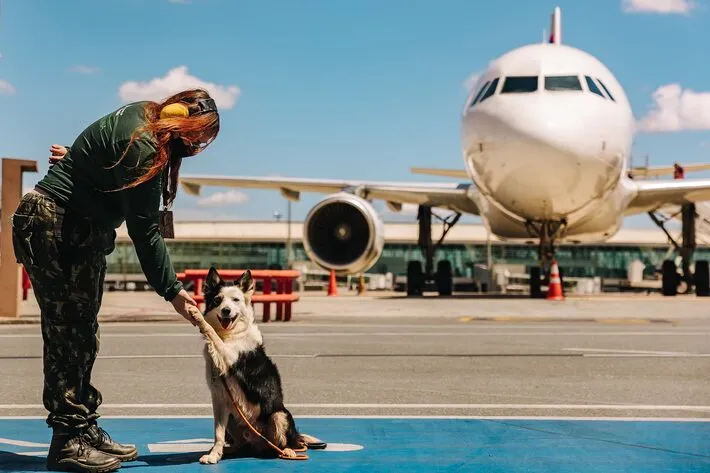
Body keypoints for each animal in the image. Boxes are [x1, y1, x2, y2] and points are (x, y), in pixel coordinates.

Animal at [196, 268, 326, 462]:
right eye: (217, 300)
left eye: (236, 300)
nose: (226, 310)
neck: (231, 334)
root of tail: (259, 442)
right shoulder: (219, 398)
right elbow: (218, 433)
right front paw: (214, 455)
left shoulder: (231, 356)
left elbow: (212, 334)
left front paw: (199, 319)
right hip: (234, 416)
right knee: (241, 444)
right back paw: (229, 450)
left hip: (279, 415)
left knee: (285, 444)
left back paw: (288, 451)